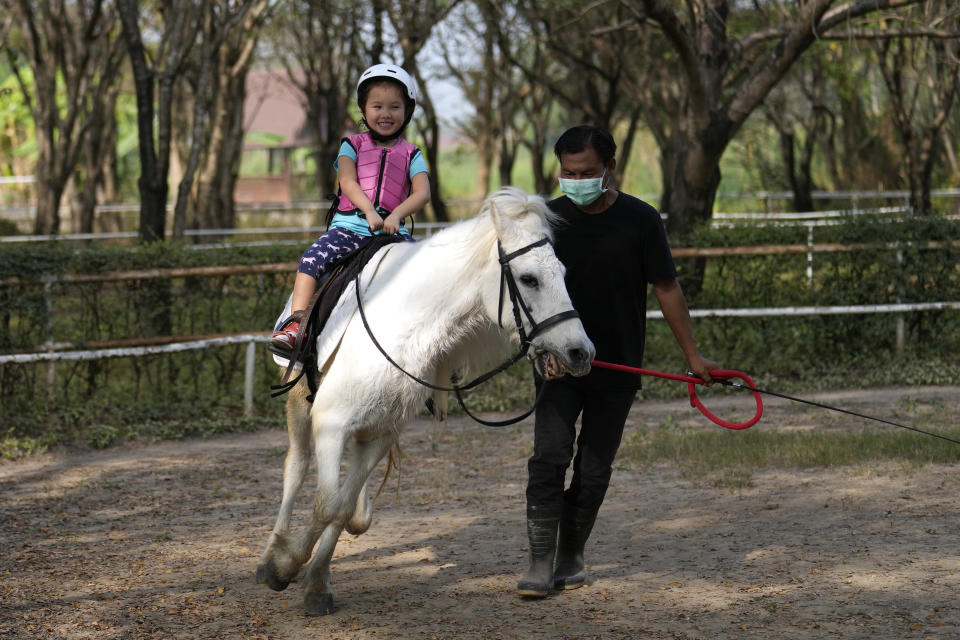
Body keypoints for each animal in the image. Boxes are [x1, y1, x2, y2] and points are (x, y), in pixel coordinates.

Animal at [258, 185, 596, 616]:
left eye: (564, 275)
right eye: (529, 278)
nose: (580, 352)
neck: (403, 321)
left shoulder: (382, 432)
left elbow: (342, 506)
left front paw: (317, 582)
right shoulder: (330, 423)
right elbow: (326, 503)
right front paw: (283, 567)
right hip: (301, 404)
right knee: (296, 468)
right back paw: (268, 556)